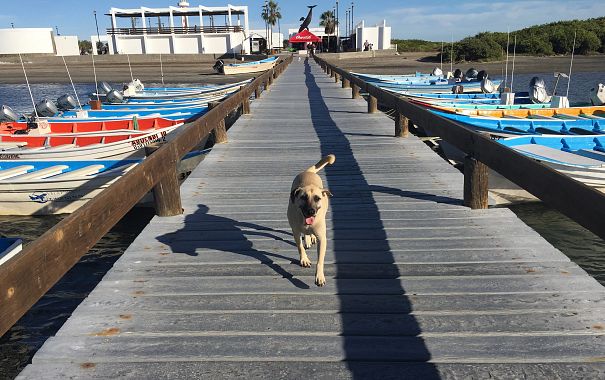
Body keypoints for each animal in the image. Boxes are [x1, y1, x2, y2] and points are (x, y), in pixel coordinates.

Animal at [284, 154, 332, 284]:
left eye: (317, 198)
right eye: (303, 197)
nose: (311, 211)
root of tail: (308, 172)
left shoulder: (322, 238)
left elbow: (320, 260)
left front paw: (319, 276)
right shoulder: (295, 231)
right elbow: (300, 246)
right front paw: (304, 259)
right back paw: (308, 239)